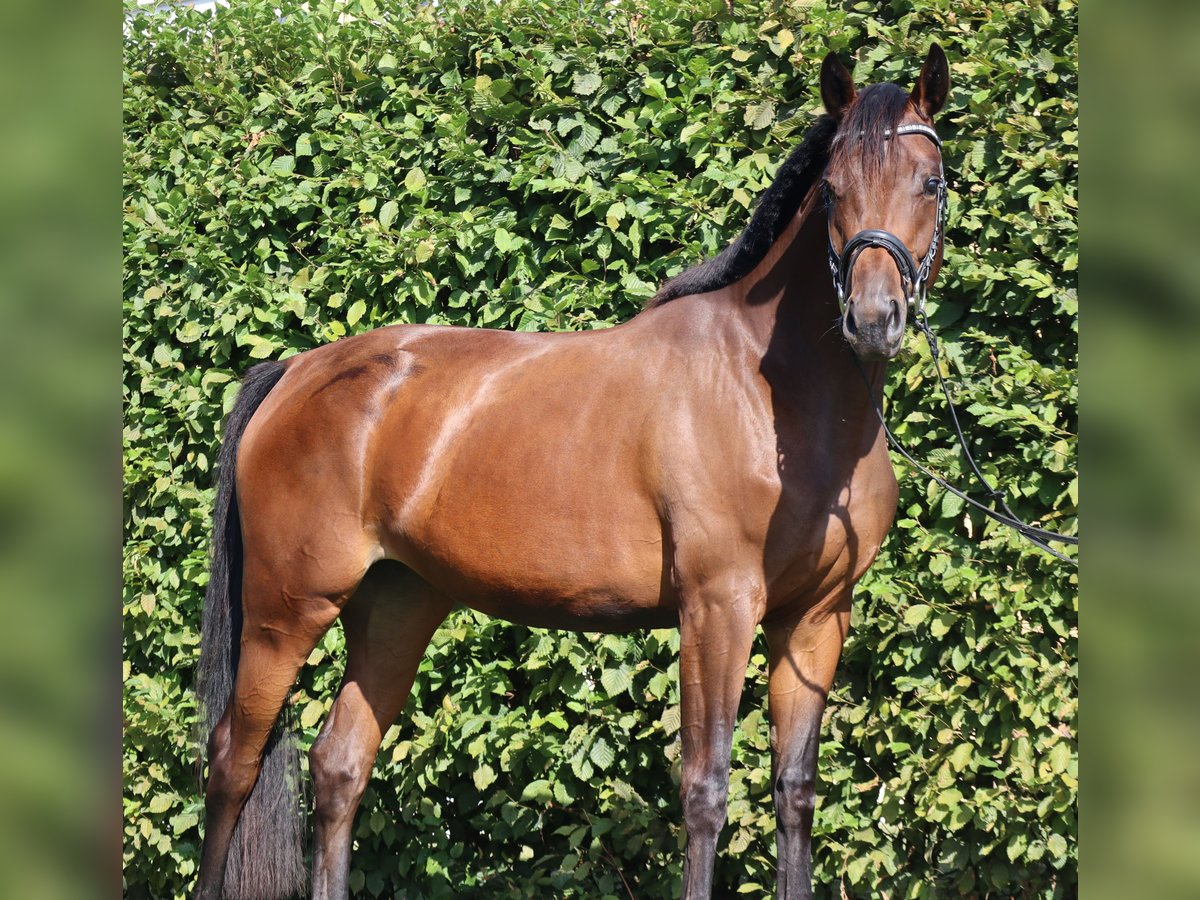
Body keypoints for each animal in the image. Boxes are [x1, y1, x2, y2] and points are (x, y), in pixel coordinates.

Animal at [194, 47, 945, 900]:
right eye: (831, 190)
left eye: (931, 181)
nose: (874, 319)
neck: (772, 391)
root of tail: (295, 371)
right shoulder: (717, 607)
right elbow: (707, 789)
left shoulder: (815, 618)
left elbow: (794, 790)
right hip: (286, 610)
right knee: (232, 764)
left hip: (397, 604)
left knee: (338, 766)